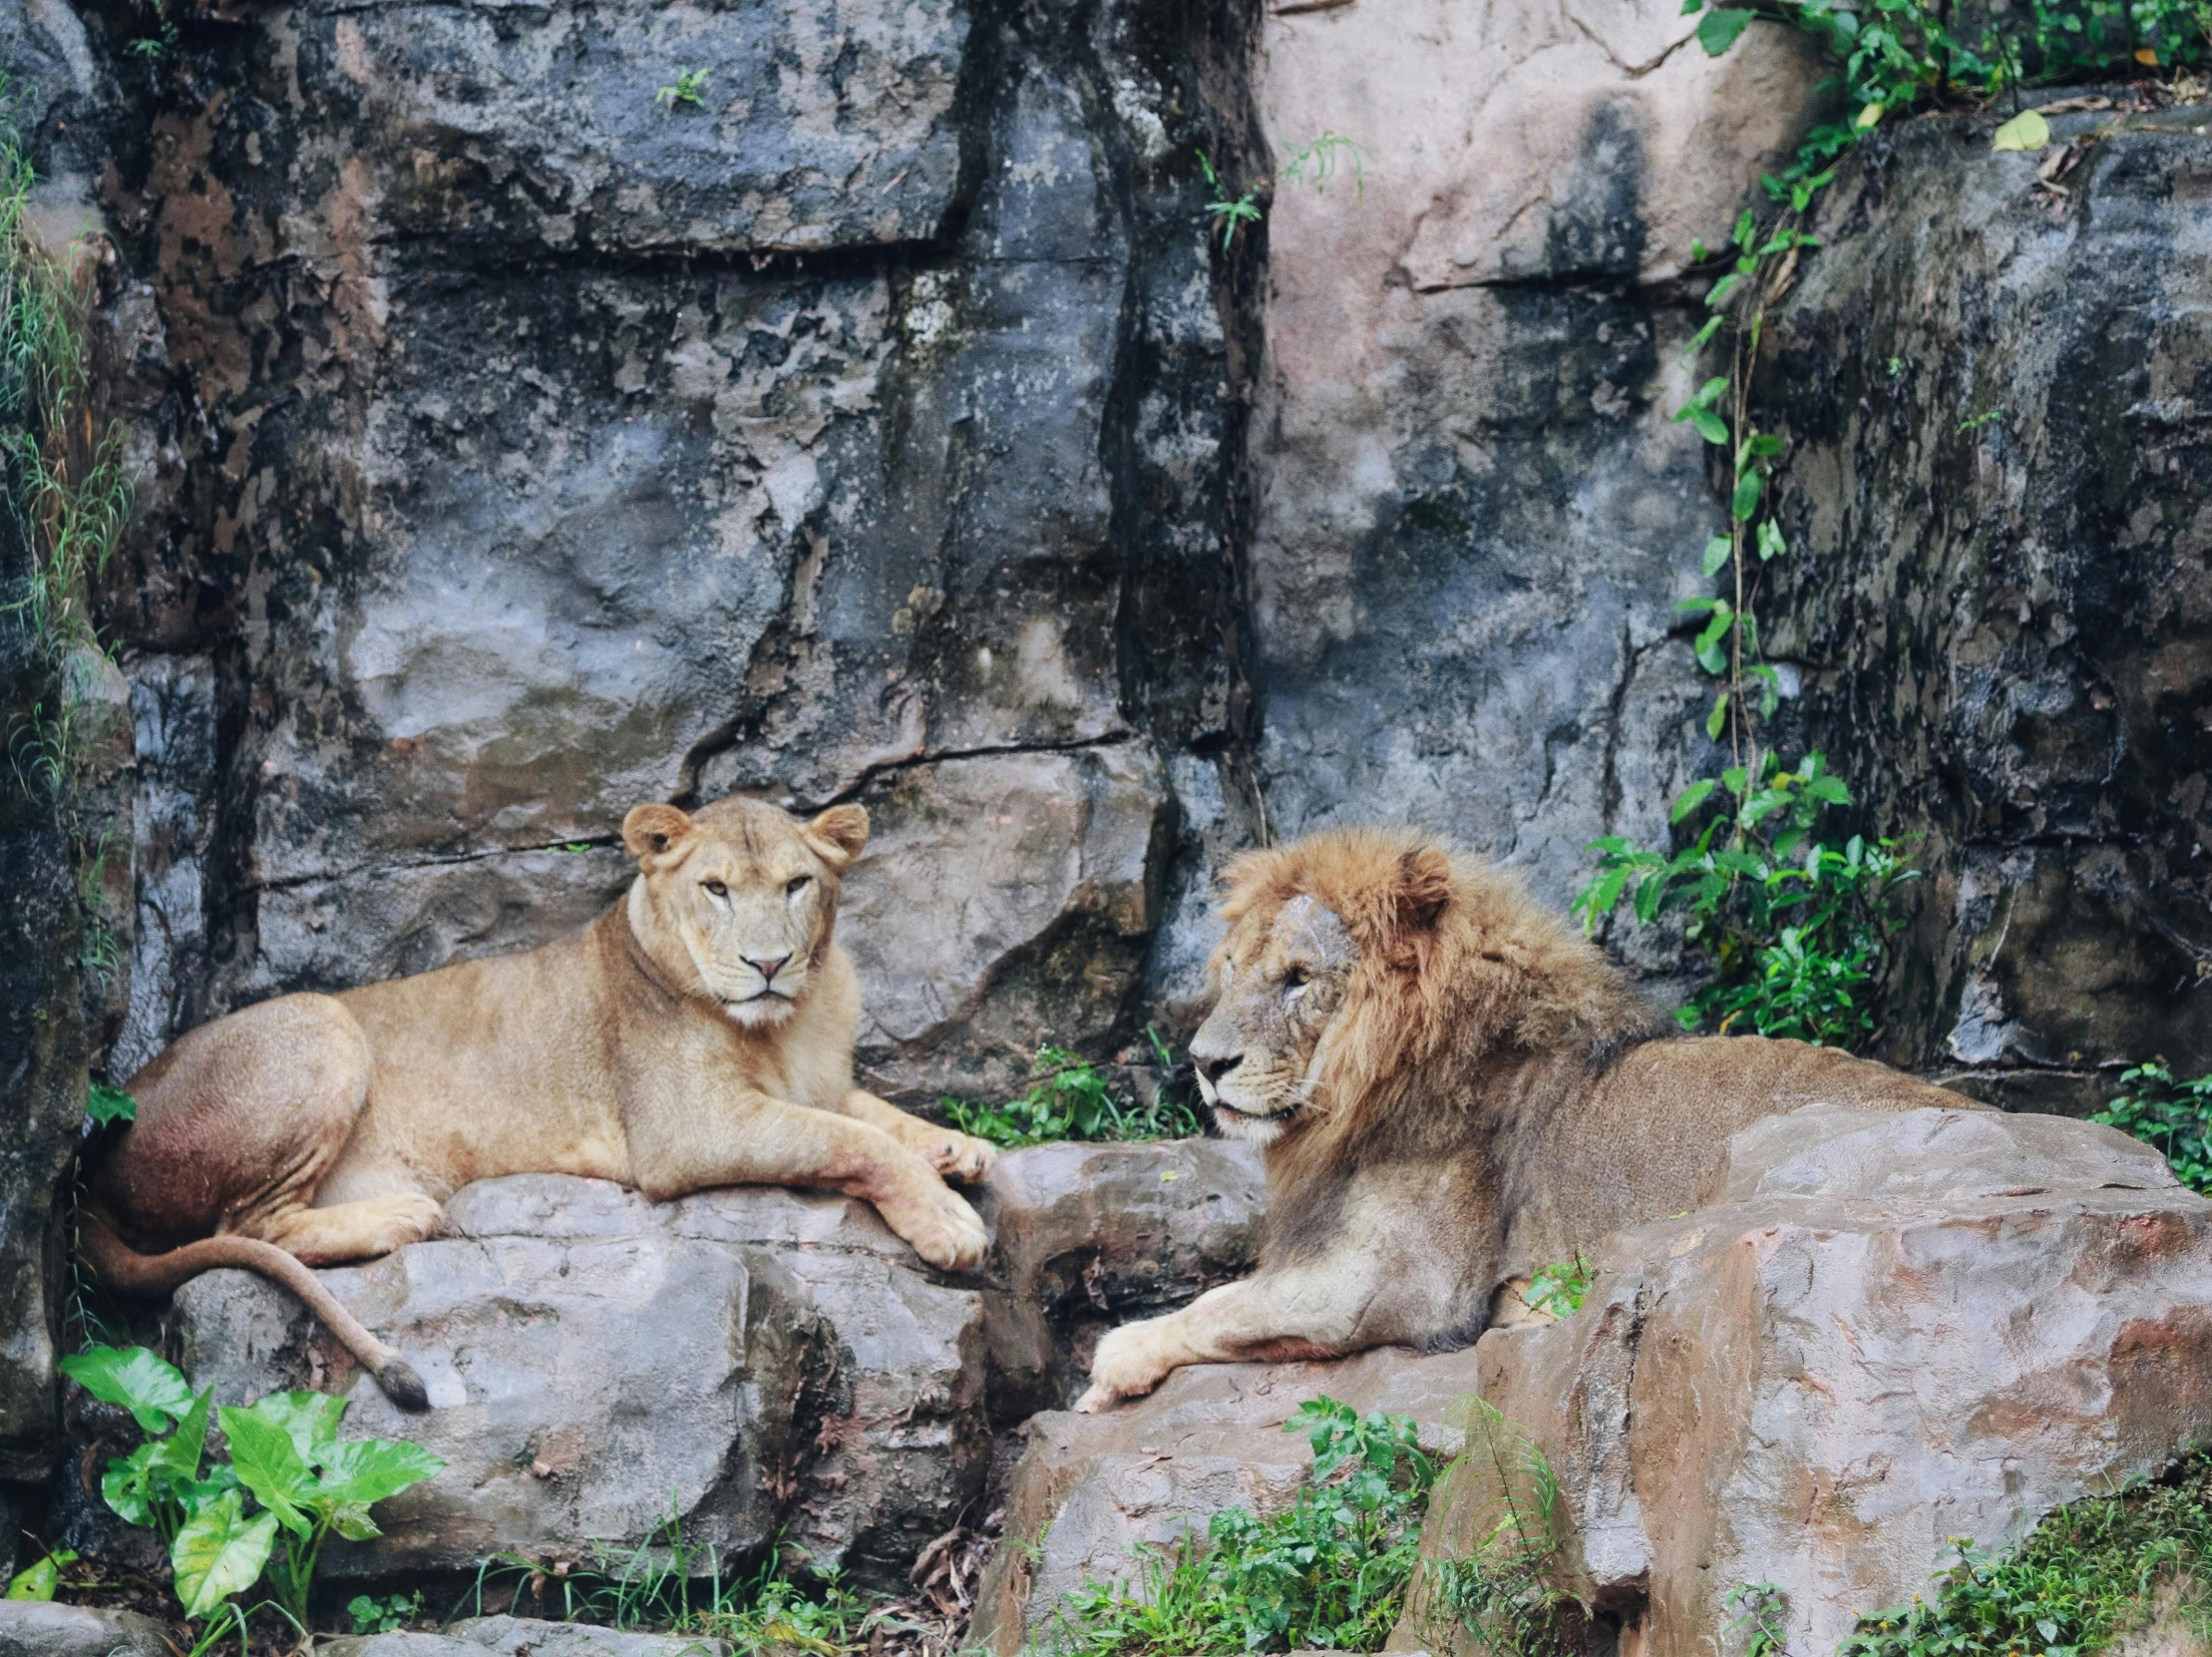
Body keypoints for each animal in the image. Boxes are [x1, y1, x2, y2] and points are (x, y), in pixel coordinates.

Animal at [86, 796, 999, 1407]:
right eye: (715, 888)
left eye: (799, 883)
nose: (768, 963)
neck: (790, 1019)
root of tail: (97, 1149)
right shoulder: (689, 1131)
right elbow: (851, 1139)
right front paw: (948, 1219)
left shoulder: (817, 1080)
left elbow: (870, 1112)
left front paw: (960, 1147)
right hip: (323, 1022)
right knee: (248, 1225)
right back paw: (401, 1214)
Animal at [1079, 827, 1964, 1407]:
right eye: (1232, 970)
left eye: (1298, 976)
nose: (1203, 1061)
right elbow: (1230, 1295)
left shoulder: (1404, 1281)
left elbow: (1223, 1304)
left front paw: (1112, 1362)